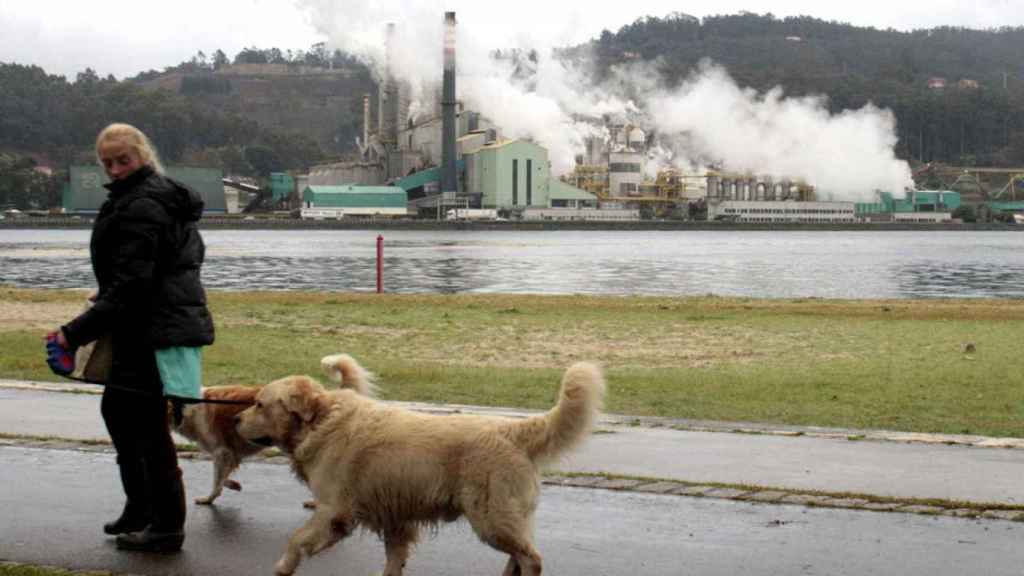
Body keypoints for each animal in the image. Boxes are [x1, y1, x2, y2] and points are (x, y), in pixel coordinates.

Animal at [172, 352, 376, 504]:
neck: (186, 407)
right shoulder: (229, 454)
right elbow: (224, 477)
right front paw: (233, 484)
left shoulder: (222, 452)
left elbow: (217, 480)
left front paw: (209, 498)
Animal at [235, 354, 602, 573]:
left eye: (259, 403)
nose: (236, 419)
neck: (320, 421)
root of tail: (512, 430)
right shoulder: (395, 519)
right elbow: (394, 562)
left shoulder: (334, 511)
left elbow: (297, 540)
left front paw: (282, 567)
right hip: (507, 519)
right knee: (519, 556)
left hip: (491, 518)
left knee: (531, 559)